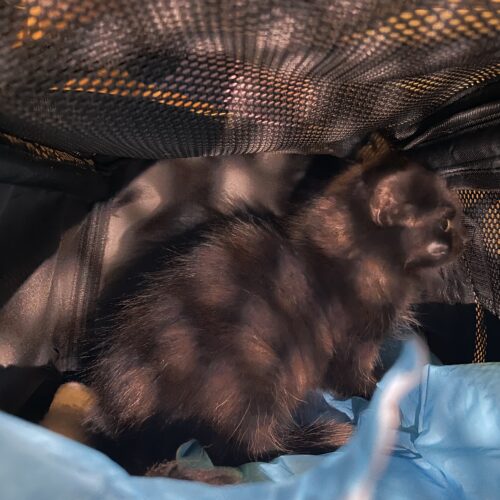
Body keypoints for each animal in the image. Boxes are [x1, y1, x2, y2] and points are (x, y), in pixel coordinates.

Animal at [83, 147, 465, 483]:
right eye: (446, 221)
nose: (465, 239)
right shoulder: (352, 344)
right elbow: (355, 379)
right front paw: (377, 392)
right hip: (253, 370)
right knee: (246, 450)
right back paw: (326, 437)